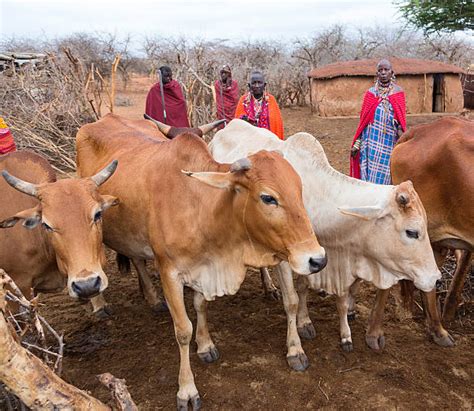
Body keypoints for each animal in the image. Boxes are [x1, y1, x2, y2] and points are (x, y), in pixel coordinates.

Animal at [76, 114, 328, 410]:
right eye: (268, 197)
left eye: (299, 189)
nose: (317, 258)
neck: (199, 204)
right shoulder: (169, 272)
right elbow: (183, 330)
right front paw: (187, 390)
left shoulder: (203, 268)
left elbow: (201, 305)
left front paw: (206, 345)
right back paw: (124, 301)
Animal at [209, 120, 446, 374]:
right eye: (412, 232)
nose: (436, 278)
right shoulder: (287, 258)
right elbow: (291, 300)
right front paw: (295, 350)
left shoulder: (315, 257)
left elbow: (304, 288)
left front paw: (305, 322)